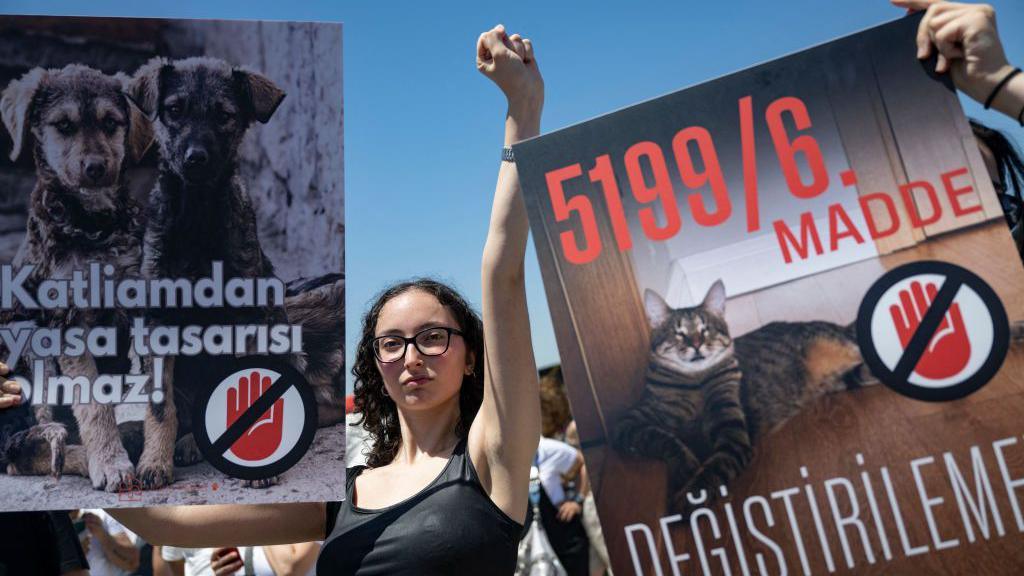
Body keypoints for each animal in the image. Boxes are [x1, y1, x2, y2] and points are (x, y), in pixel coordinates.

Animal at [610, 278, 868, 510]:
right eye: (679, 333)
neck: (695, 381)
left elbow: (712, 470)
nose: (696, 344)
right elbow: (663, 438)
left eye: (705, 330)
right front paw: (686, 465)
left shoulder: (732, 435)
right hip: (851, 377)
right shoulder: (628, 423)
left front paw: (689, 496)